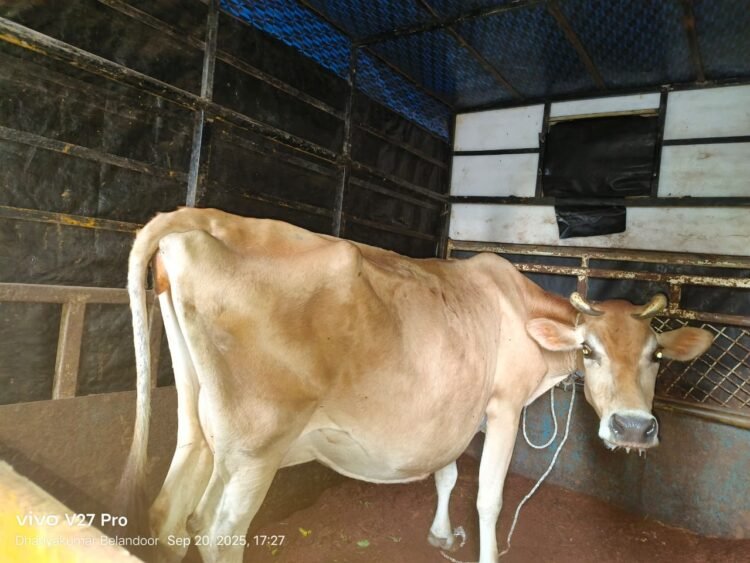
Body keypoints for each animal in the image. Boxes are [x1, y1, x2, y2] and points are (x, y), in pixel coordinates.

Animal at [118, 207, 713, 563]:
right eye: (589, 351)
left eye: (657, 355)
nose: (632, 428)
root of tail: (202, 216)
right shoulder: (502, 407)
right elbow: (489, 496)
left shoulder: (453, 409)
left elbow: (447, 472)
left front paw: (441, 535)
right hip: (255, 446)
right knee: (216, 531)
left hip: (201, 427)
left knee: (170, 513)